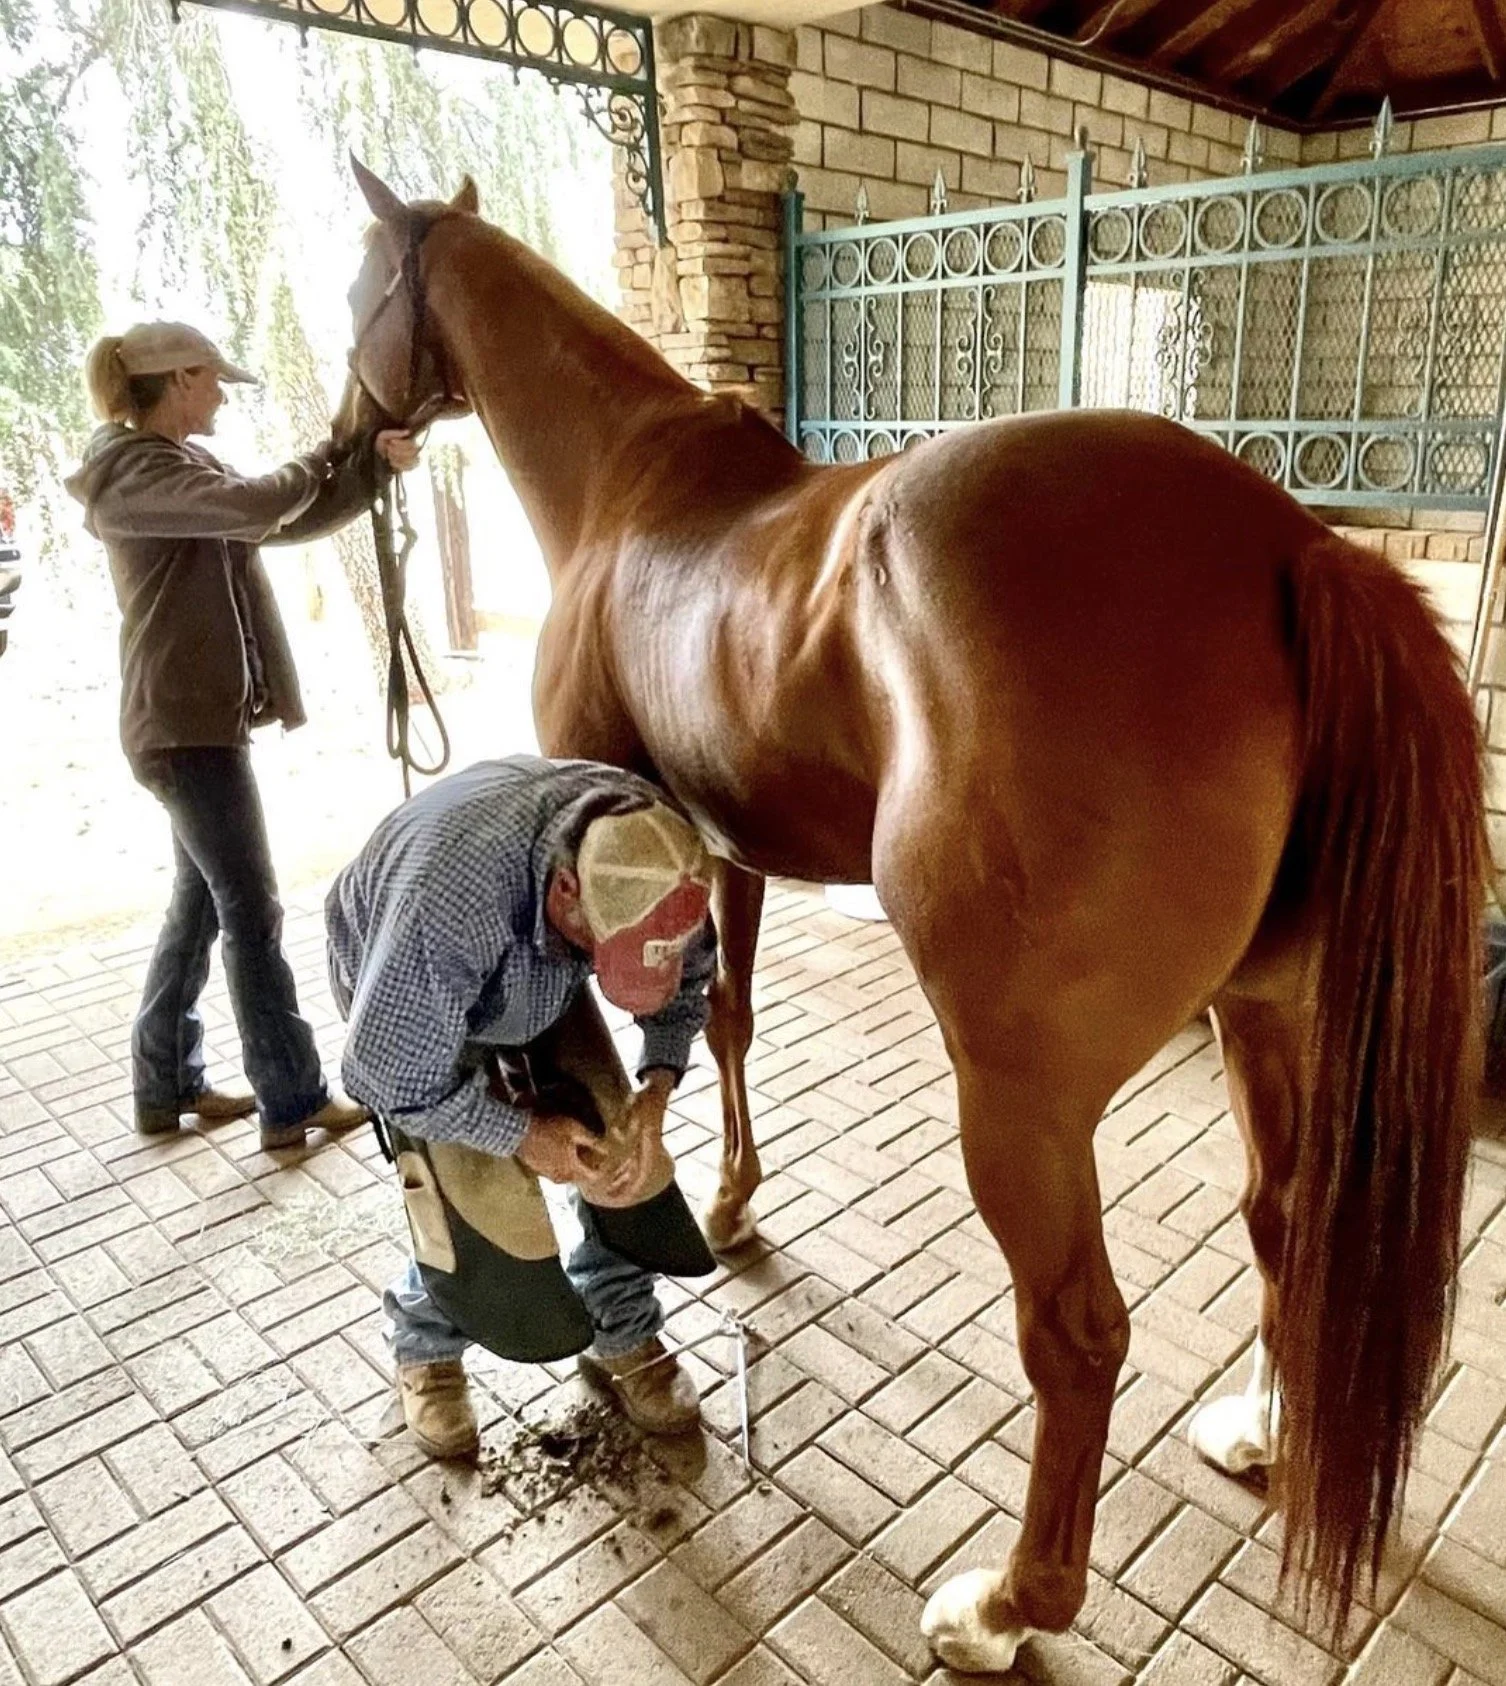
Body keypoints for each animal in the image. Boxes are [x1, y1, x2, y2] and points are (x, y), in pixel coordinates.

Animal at [332, 160, 1487, 1673]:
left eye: (361, 290)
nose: (347, 440)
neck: (626, 489)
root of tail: (1293, 549)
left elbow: (629, 1063)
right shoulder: (720, 855)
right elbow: (729, 1024)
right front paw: (730, 1202)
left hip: (1020, 1099)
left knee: (1076, 1334)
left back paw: (1005, 1606)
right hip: (1267, 1017)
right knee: (1284, 1223)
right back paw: (1261, 1431)